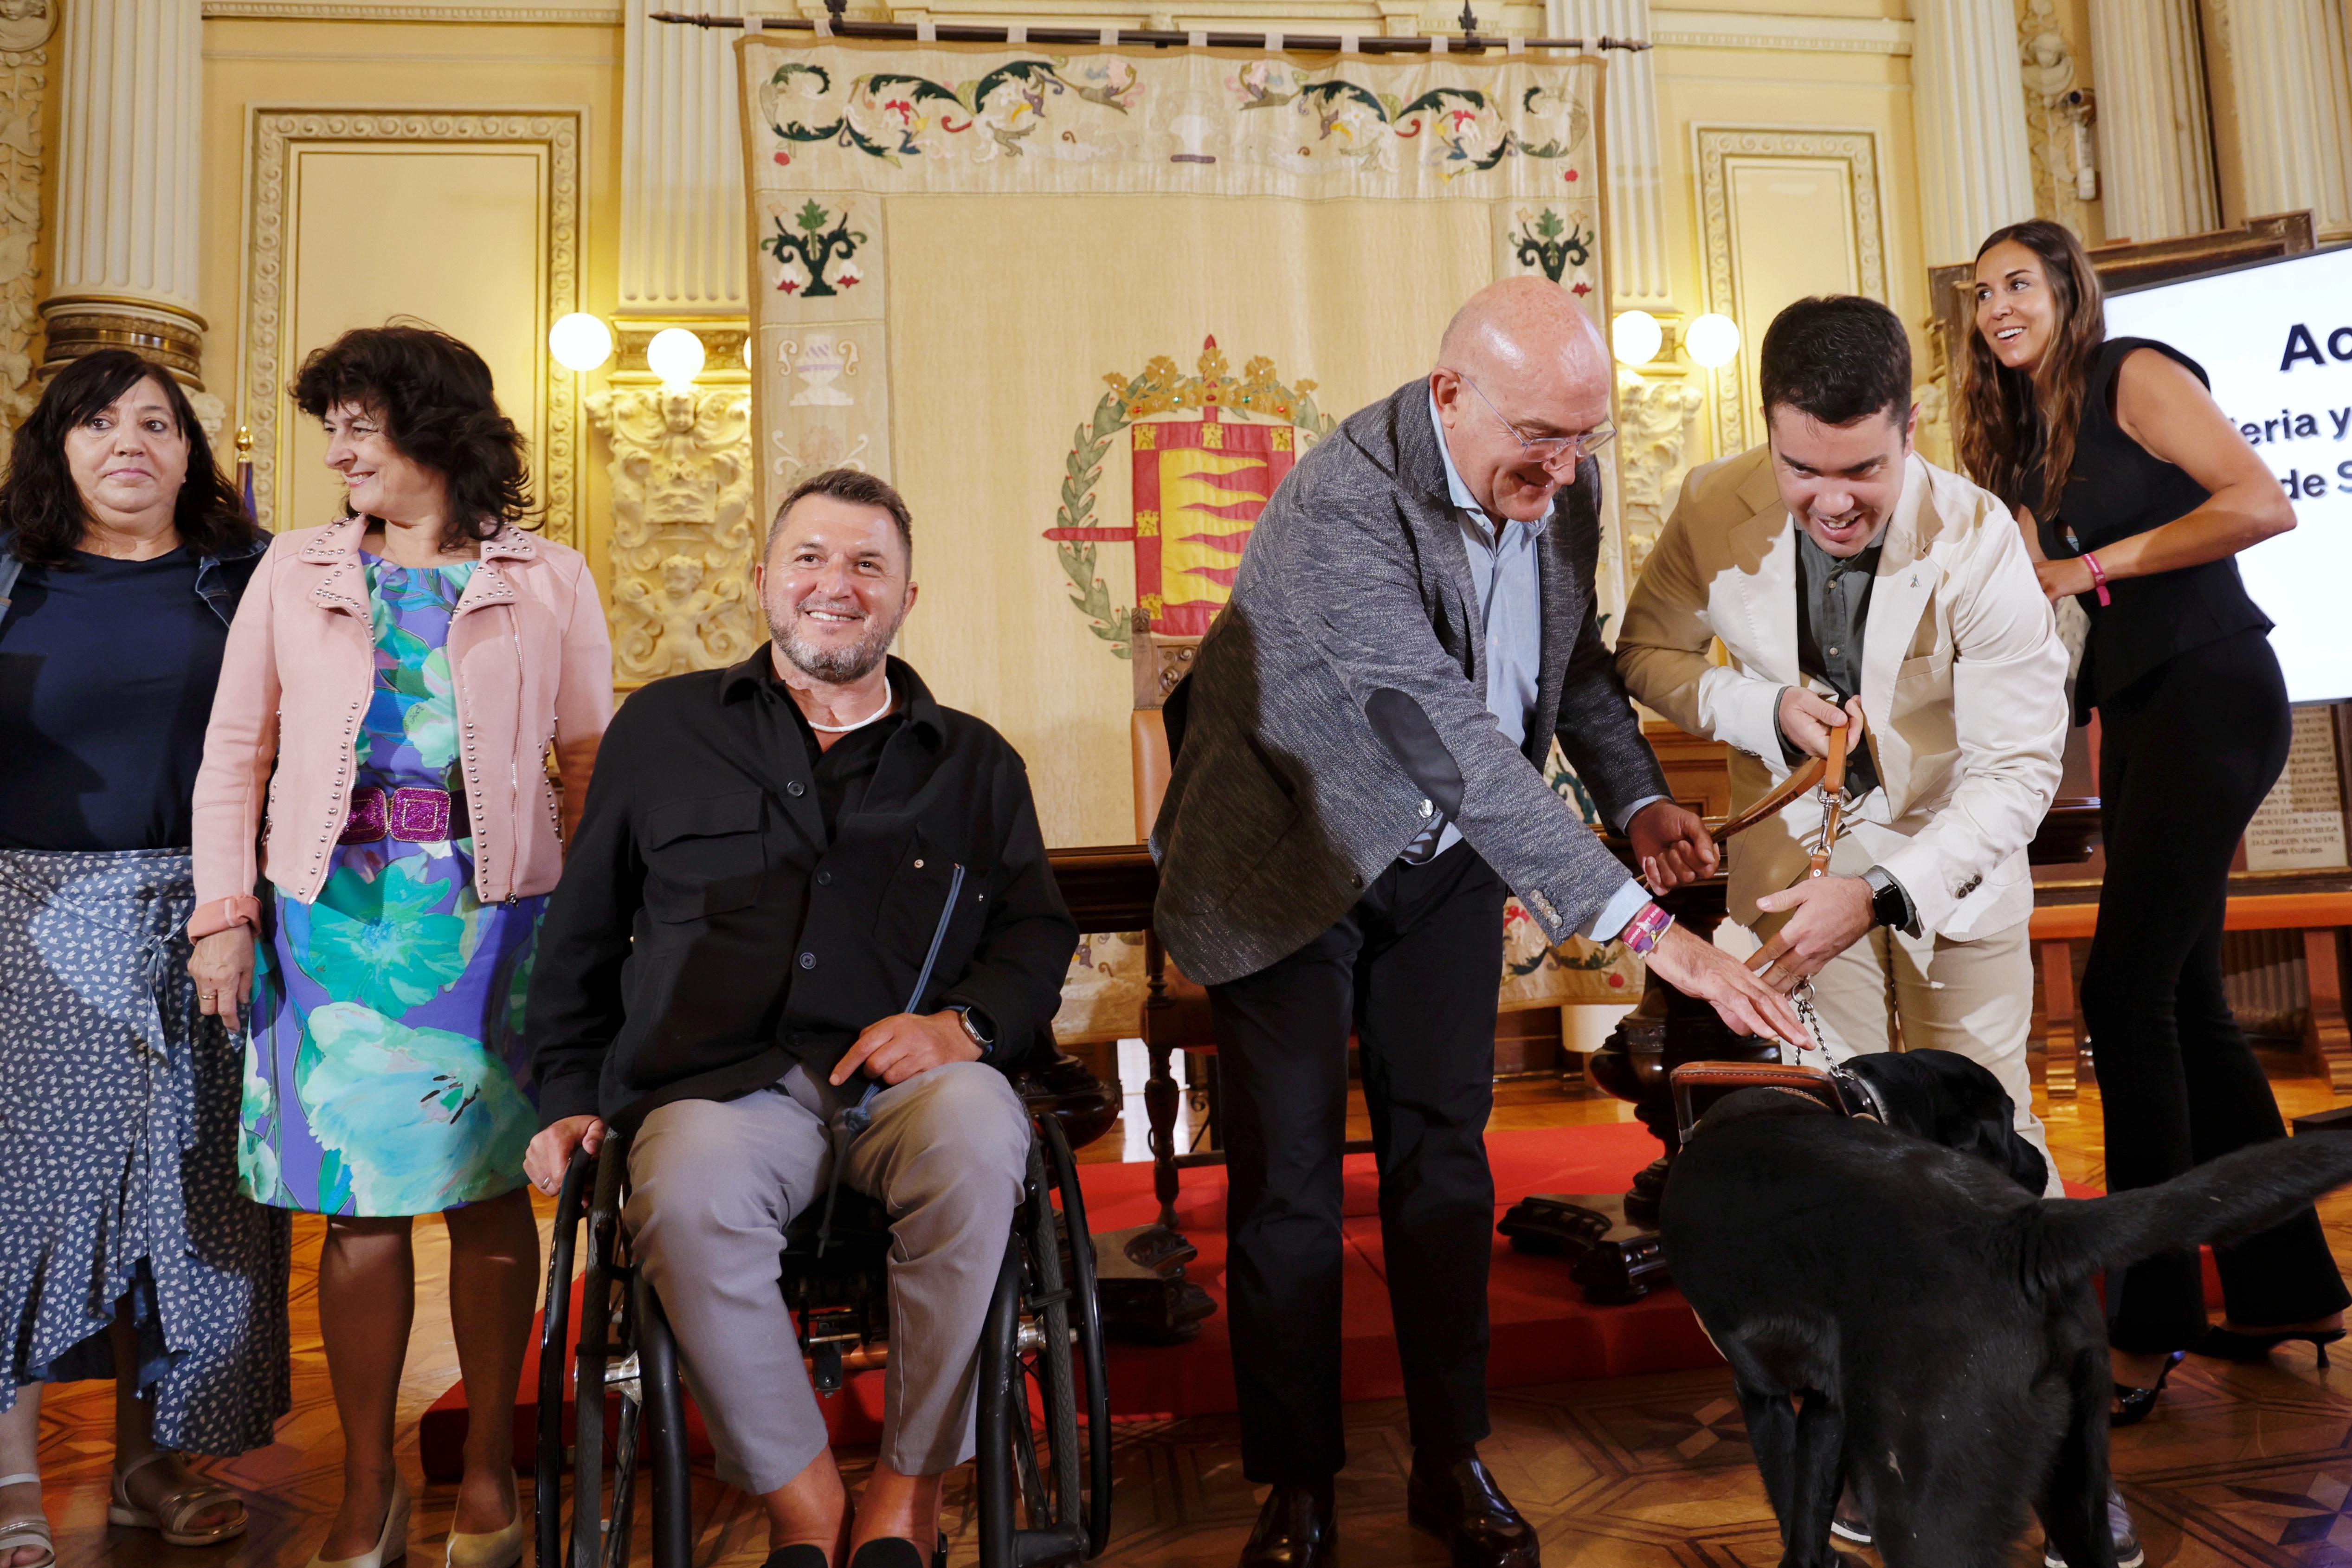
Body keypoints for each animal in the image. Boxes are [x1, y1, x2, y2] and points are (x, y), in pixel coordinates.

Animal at [1661, 1049, 2352, 1568]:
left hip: (1924, 1506)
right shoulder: (1825, 1406)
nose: (2040, 1161)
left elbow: (1785, 1494)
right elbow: (1806, 1508)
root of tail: (2020, 1232)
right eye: (2004, 1123)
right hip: (2073, 1482)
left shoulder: (1761, 1393)